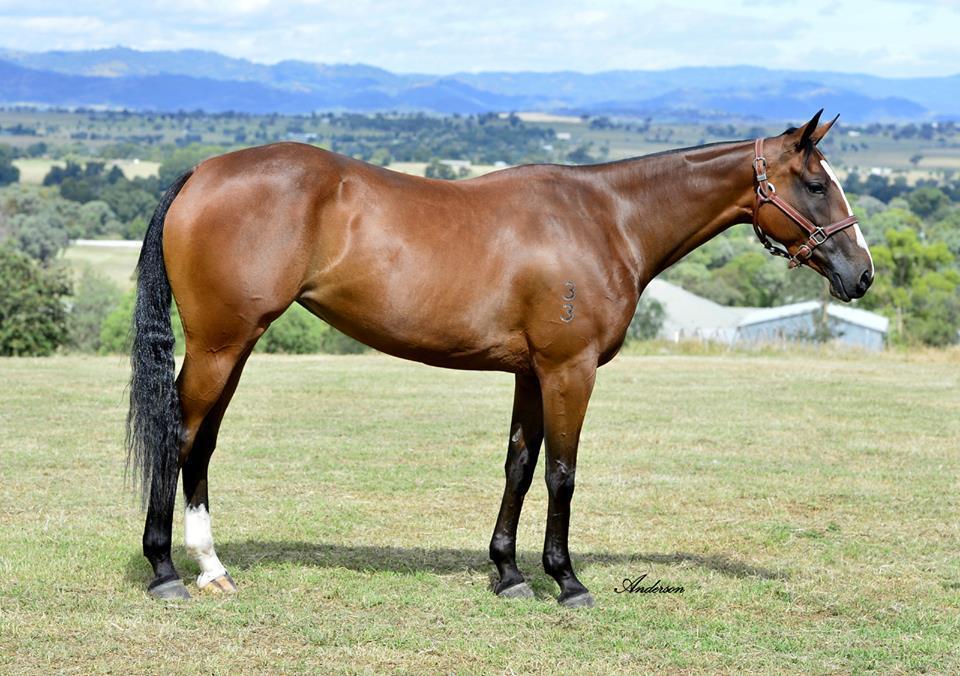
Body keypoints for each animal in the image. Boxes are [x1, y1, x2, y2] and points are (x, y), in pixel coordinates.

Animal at [127, 109, 873, 607]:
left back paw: (211, 567)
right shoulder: (568, 370)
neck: (606, 219)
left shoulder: (530, 373)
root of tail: (202, 171)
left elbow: (519, 464)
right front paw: (566, 580)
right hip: (221, 344)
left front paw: (510, 573)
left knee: (201, 444)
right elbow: (562, 473)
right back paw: (166, 572)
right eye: (815, 185)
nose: (861, 273)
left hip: (234, 347)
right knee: (179, 436)